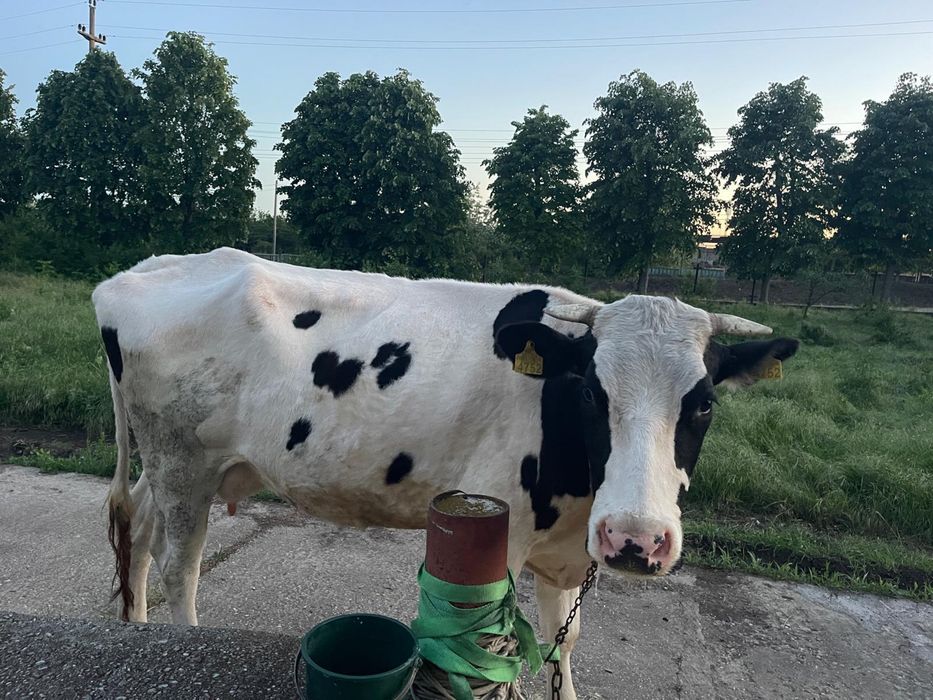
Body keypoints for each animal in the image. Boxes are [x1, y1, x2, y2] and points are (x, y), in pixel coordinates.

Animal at [93, 247, 798, 700]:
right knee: (180, 567)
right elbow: (491, 647)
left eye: (703, 403)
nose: (636, 538)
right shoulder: (497, 527)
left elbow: (563, 642)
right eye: (591, 393)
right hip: (183, 464)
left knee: (141, 533)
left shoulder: (570, 550)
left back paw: (137, 634)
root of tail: (141, 271)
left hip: (169, 465)